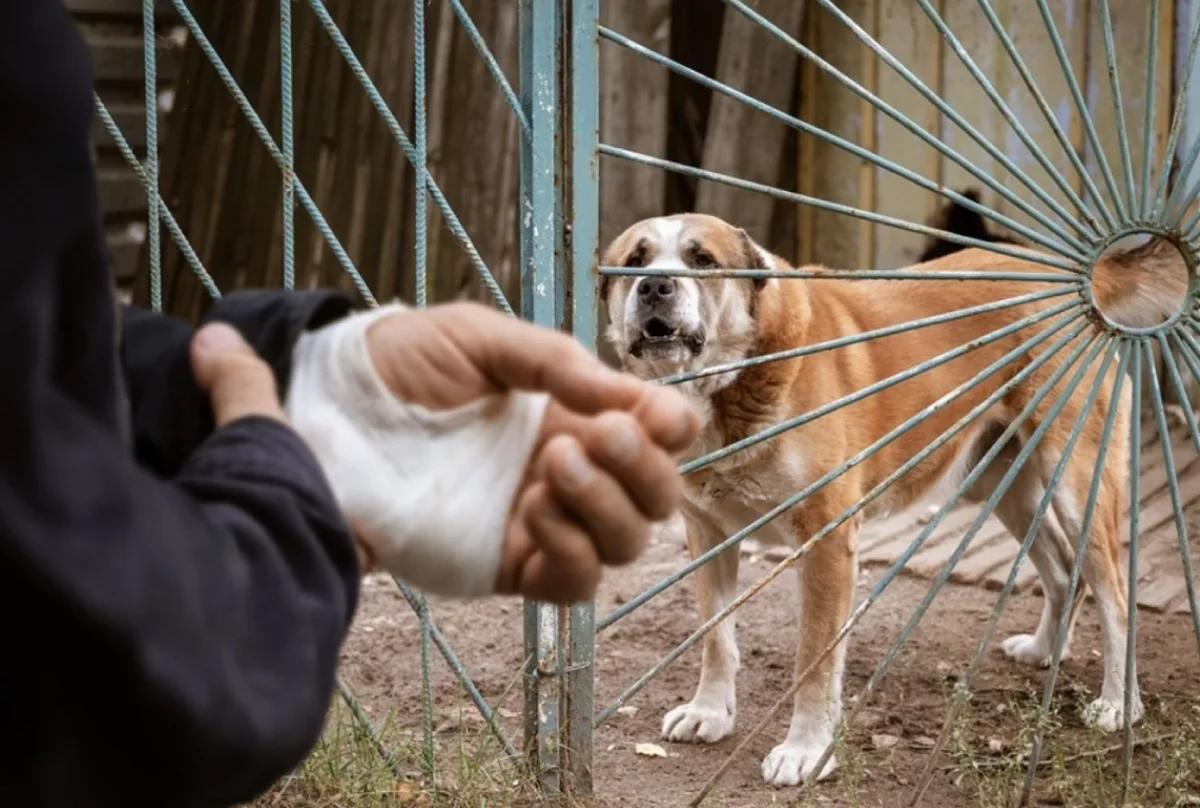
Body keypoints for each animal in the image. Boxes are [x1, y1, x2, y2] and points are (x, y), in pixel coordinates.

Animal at [600, 211, 1180, 782]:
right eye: (635, 260)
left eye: (703, 260)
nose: (654, 286)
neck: (731, 382)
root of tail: (1077, 279)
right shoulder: (709, 534)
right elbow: (715, 637)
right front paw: (709, 713)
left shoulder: (828, 542)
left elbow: (813, 660)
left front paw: (806, 750)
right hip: (1005, 486)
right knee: (1064, 573)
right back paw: (1042, 652)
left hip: (1079, 483)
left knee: (1115, 596)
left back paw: (1119, 704)